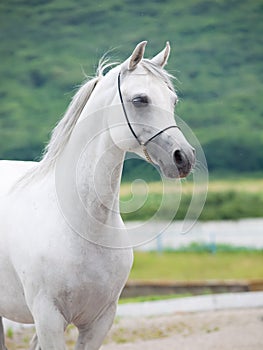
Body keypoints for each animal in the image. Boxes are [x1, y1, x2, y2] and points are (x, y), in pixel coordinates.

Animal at [0, 42, 196, 348]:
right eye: (140, 99)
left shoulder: (99, 321)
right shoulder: (48, 320)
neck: (82, 226)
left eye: (173, 101)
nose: (183, 158)